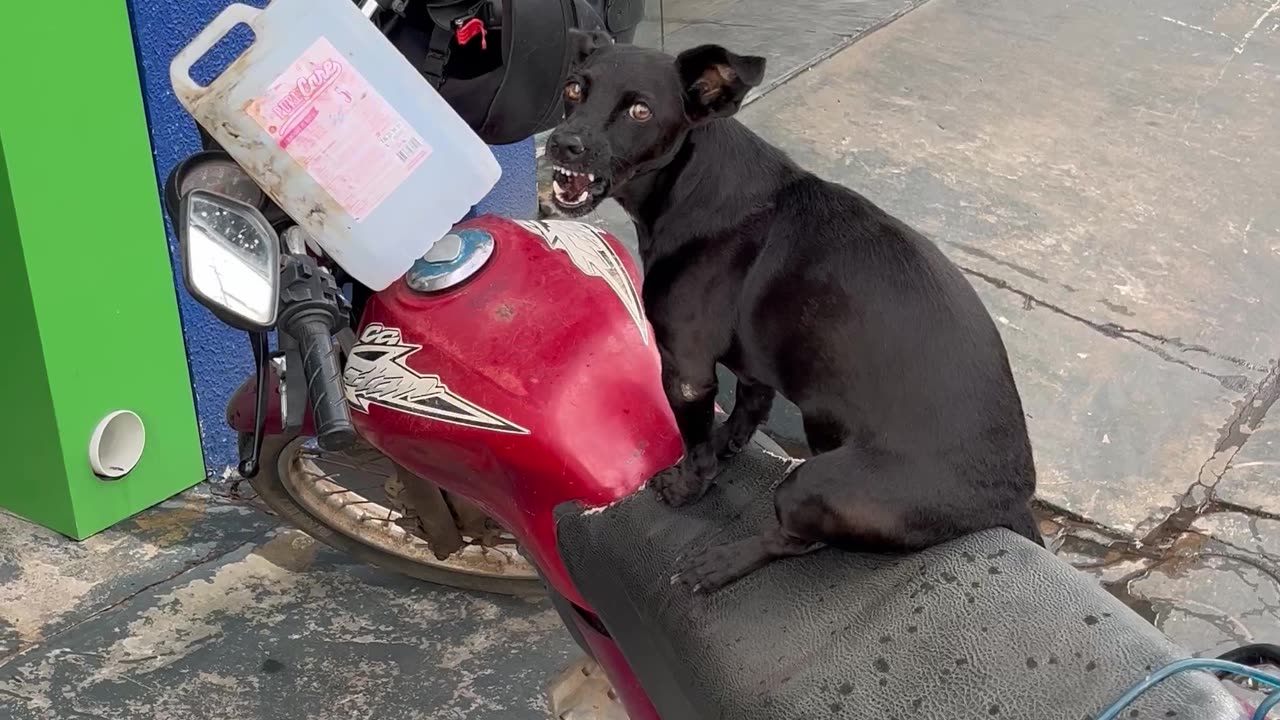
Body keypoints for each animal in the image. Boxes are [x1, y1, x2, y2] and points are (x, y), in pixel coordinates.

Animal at [547, 32, 1039, 589]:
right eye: (573, 88)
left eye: (640, 110)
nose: (563, 143)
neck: (694, 184)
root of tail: (1011, 499)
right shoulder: (755, 363)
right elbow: (747, 409)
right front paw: (727, 444)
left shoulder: (687, 371)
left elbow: (695, 446)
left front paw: (688, 485)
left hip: (811, 485)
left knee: (794, 541)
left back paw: (721, 562)